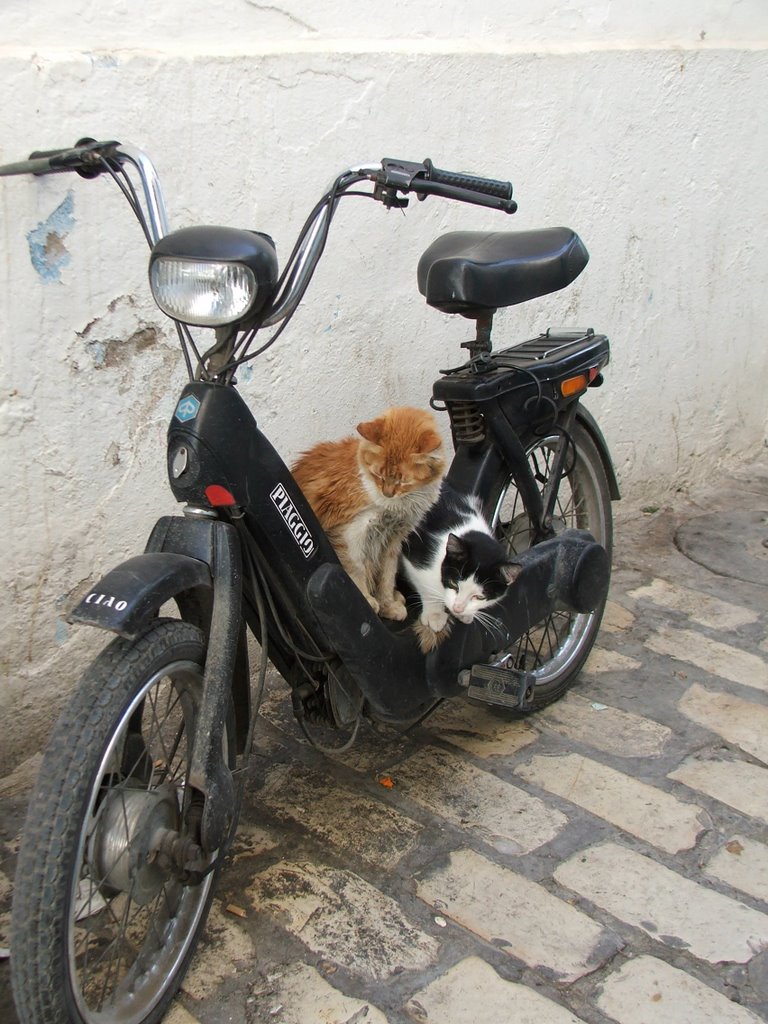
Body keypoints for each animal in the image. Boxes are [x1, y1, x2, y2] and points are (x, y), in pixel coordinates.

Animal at [290, 405, 444, 614]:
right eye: (378, 475)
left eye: (403, 481)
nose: (387, 493)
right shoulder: (350, 533)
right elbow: (356, 569)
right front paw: (366, 600)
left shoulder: (393, 541)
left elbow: (387, 576)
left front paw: (388, 604)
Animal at [403, 481, 524, 655]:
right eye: (454, 584)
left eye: (479, 597)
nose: (458, 608)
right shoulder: (415, 556)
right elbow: (426, 587)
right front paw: (434, 614)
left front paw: (465, 614)